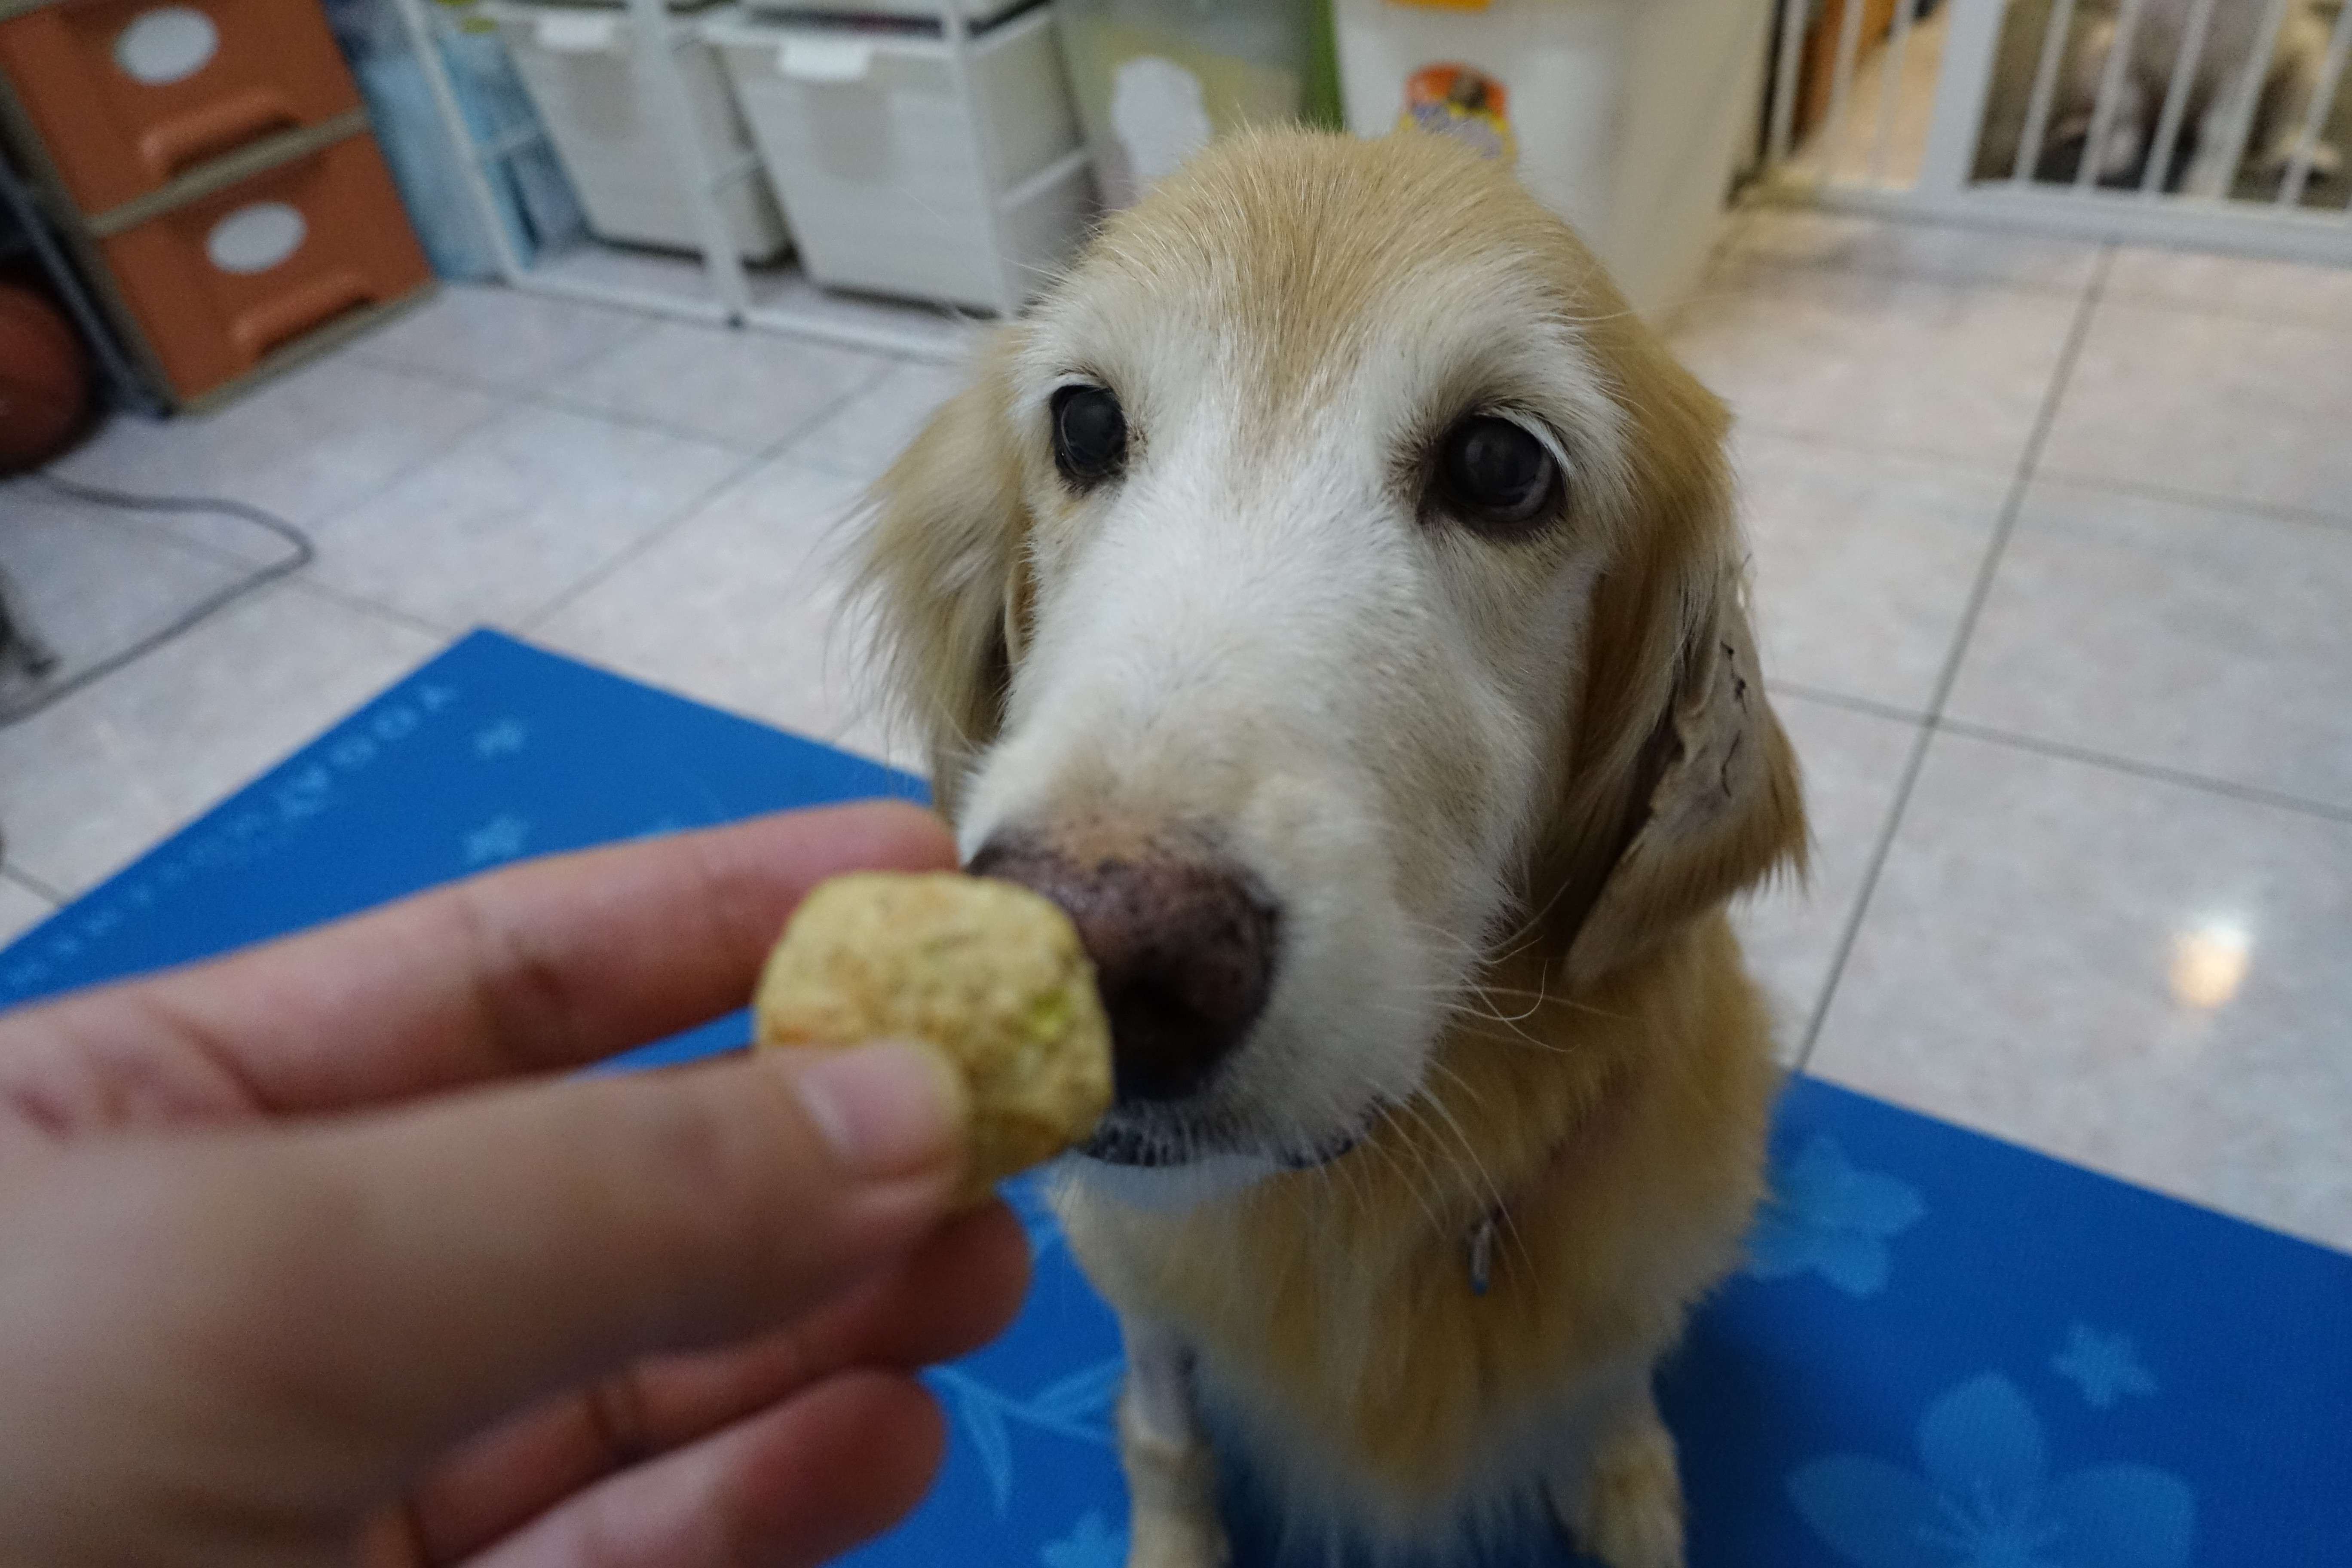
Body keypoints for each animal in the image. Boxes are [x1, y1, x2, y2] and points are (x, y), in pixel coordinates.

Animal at [861, 129, 1797, 1561]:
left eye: (1502, 466)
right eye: (1083, 423)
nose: (1103, 949)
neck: (1363, 1205)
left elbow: (1622, 1425)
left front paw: (1625, 1484)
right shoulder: (1141, 1282)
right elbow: (1164, 1433)